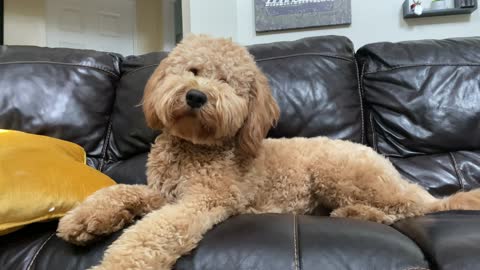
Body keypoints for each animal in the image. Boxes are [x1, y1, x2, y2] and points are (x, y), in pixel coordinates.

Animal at [57, 34, 480, 268]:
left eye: (228, 83)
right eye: (193, 71)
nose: (196, 96)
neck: (195, 147)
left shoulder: (202, 201)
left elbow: (152, 234)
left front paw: (119, 263)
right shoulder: (162, 192)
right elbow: (120, 191)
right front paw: (85, 219)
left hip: (341, 173)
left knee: (407, 209)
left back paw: (355, 213)